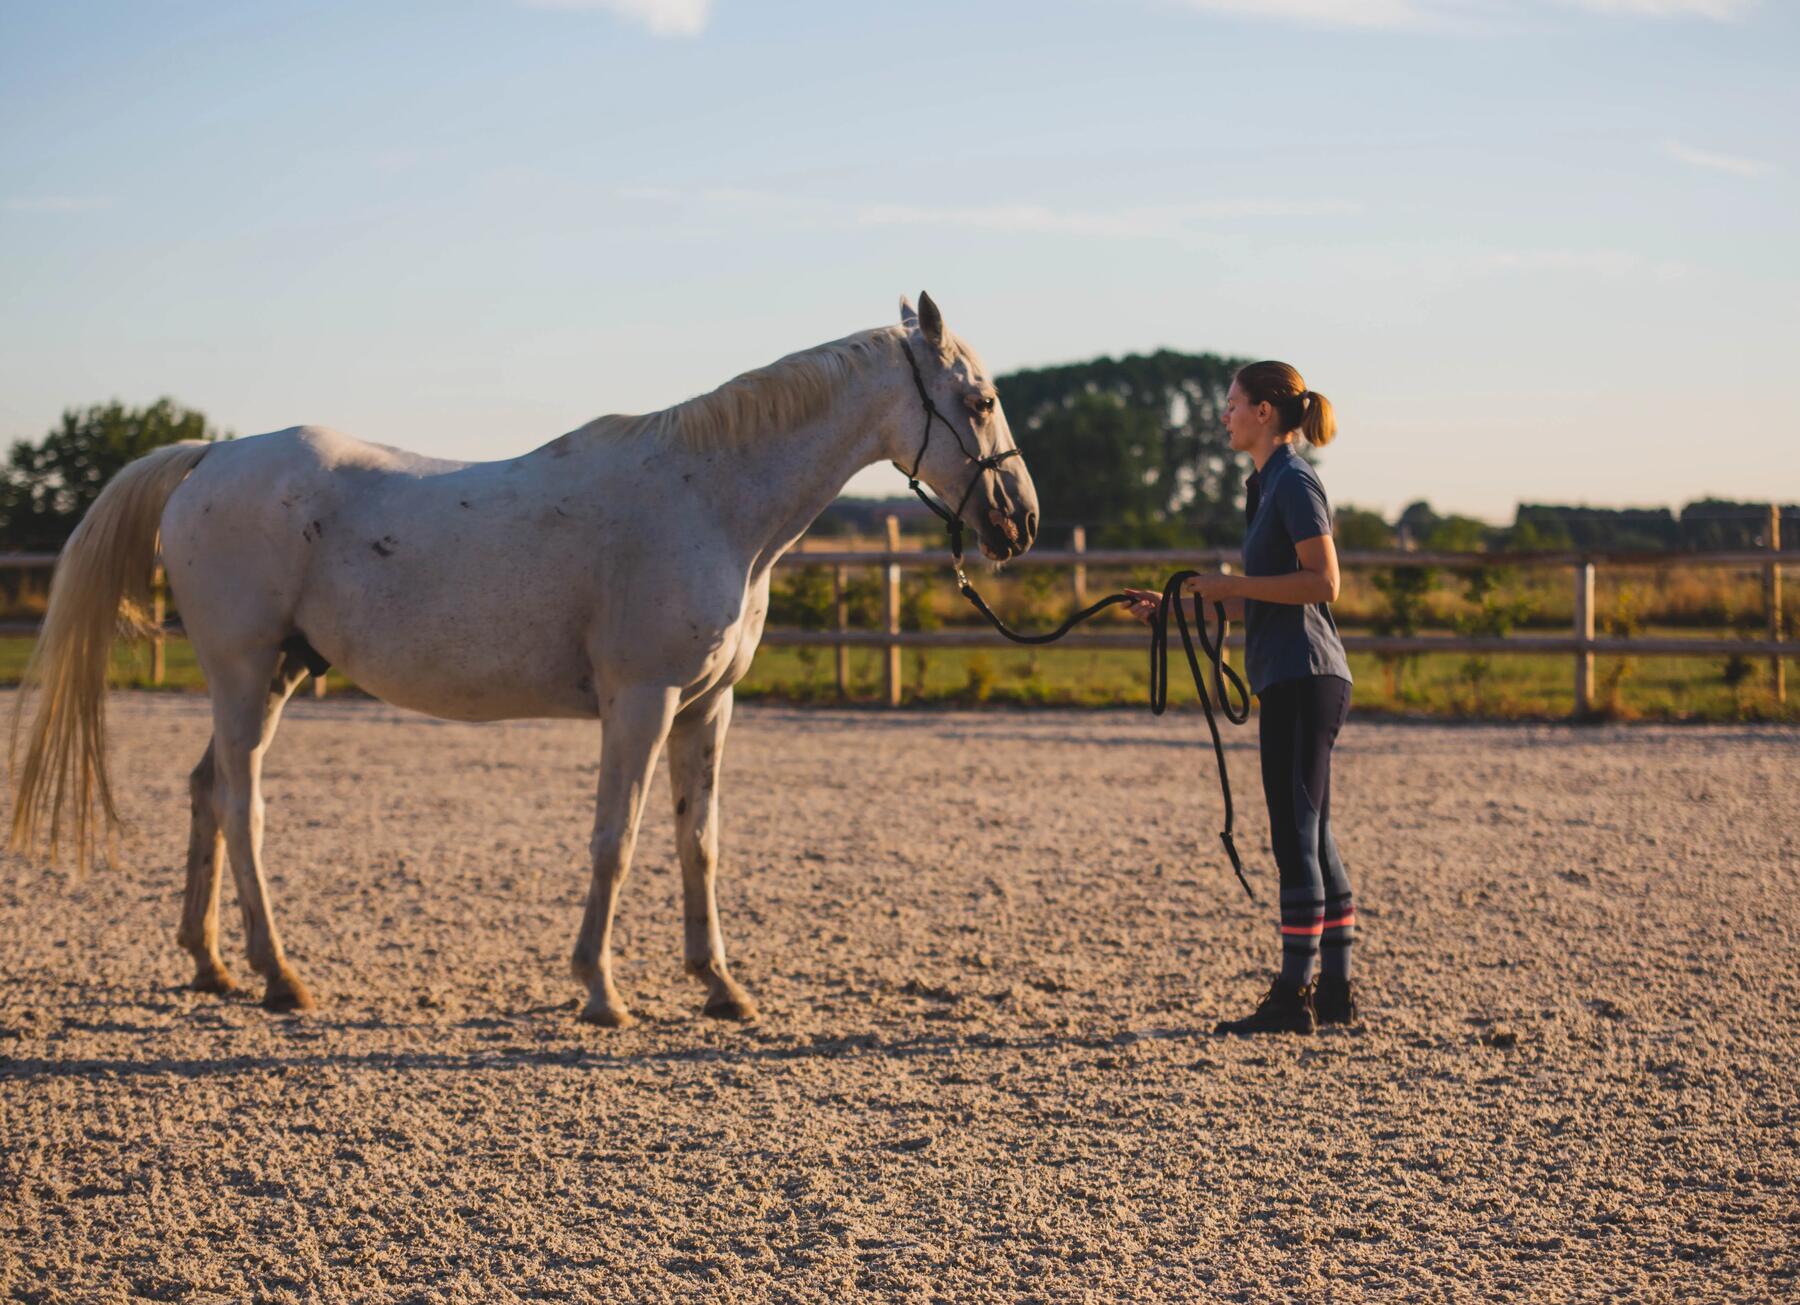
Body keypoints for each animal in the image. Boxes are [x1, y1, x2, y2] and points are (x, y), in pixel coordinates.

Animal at [10, 295, 1044, 1029]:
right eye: (980, 400)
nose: (1020, 522)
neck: (709, 498)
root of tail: (208, 458)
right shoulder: (641, 700)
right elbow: (615, 840)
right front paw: (599, 990)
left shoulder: (707, 707)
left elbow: (698, 841)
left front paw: (720, 986)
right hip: (240, 668)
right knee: (239, 806)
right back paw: (280, 976)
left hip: (275, 675)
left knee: (204, 792)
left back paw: (212, 964)